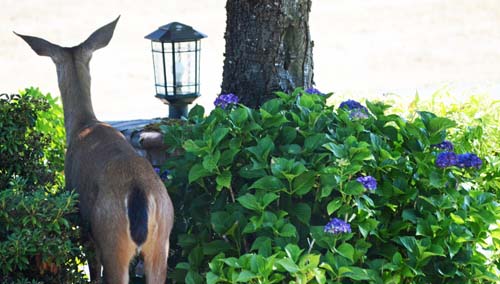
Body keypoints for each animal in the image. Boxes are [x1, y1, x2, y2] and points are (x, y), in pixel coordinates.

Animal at [15, 17, 174, 284]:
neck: (84, 125)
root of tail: (139, 191)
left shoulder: (82, 221)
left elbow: (93, 271)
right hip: (161, 242)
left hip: (111, 237)